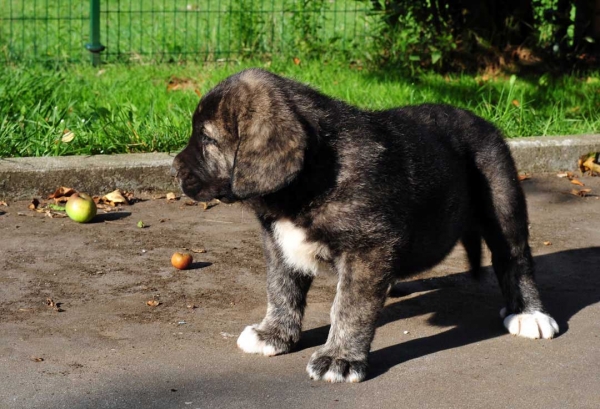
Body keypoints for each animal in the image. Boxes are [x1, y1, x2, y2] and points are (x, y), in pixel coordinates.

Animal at [171, 68, 560, 380]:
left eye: (207, 139)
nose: (173, 169)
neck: (308, 180)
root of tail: (484, 122)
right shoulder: (279, 243)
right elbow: (281, 289)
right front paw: (274, 334)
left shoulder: (368, 247)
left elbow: (350, 306)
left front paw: (339, 358)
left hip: (502, 199)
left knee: (515, 257)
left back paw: (528, 314)